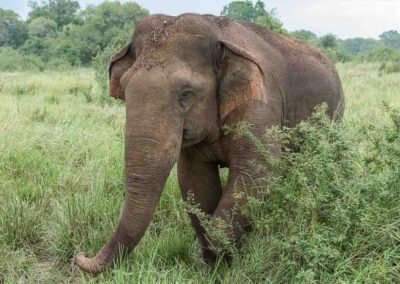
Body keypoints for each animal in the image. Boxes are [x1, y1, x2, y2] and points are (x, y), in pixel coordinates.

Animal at [74, 12, 344, 272]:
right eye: (125, 88)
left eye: (187, 94)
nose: (80, 256)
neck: (218, 33)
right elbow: (194, 180)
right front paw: (213, 263)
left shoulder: (261, 104)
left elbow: (256, 171)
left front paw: (223, 255)